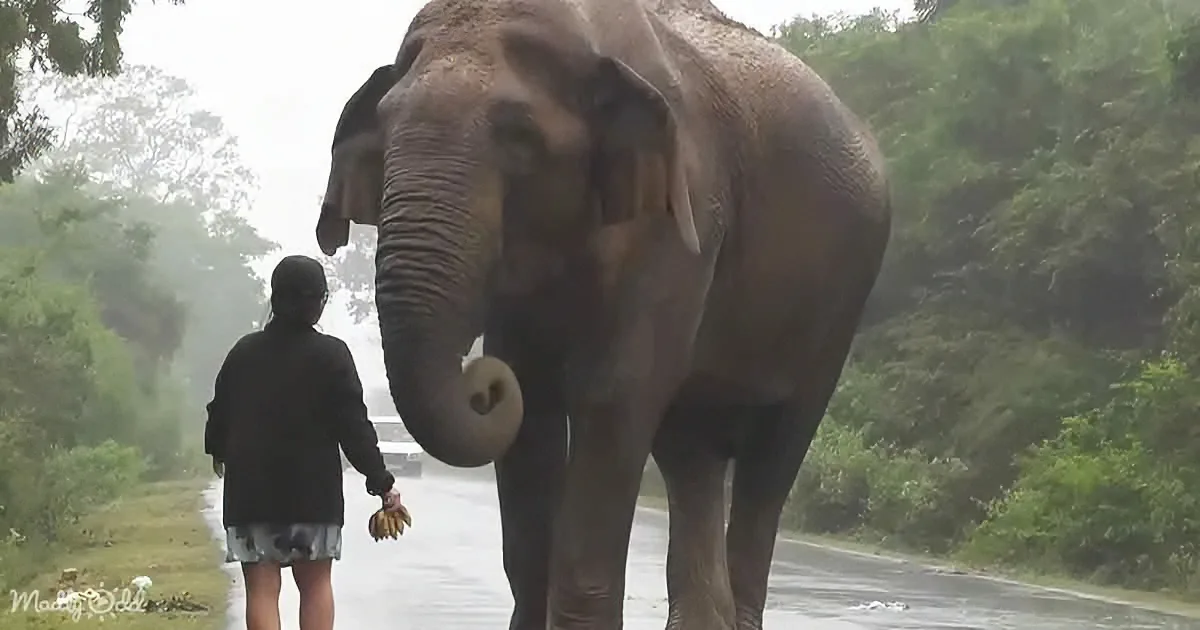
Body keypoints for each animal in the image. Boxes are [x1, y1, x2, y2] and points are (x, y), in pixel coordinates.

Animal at [314, 0, 891, 628]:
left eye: (520, 135)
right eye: (386, 131)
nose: (482, 379)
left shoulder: (681, 218)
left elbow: (613, 393)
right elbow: (533, 412)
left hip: (841, 301)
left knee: (773, 456)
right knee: (692, 453)